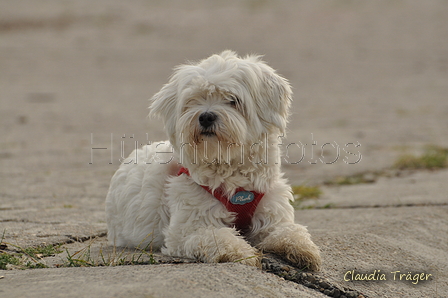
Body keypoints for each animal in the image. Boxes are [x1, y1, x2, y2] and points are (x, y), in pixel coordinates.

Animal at [105, 50, 322, 270]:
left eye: (233, 100)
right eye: (194, 100)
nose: (206, 117)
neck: (230, 171)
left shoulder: (272, 215)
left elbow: (288, 231)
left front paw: (302, 249)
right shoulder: (187, 230)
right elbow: (218, 238)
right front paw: (243, 253)